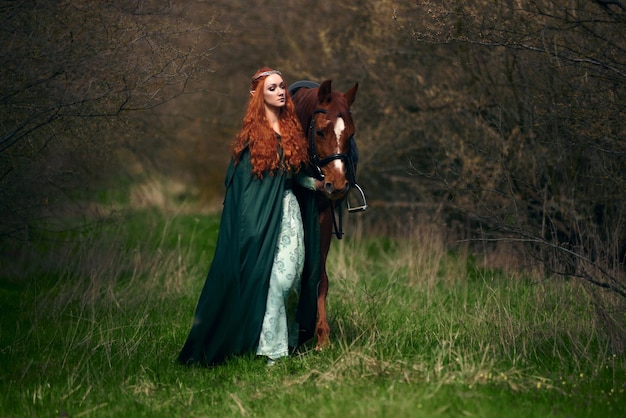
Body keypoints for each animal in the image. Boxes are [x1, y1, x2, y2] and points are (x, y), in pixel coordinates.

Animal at [288, 79, 360, 350]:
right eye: (320, 132)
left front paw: (322, 336)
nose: (337, 184)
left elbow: (319, 275)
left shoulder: (323, 218)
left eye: (351, 134)